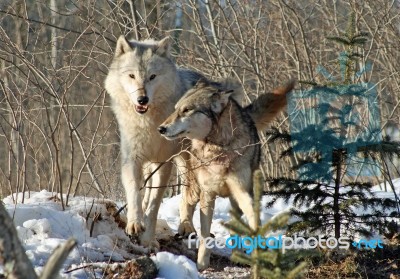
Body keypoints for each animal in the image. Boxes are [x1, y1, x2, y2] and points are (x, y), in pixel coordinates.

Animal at [104, 35, 203, 249]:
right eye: (132, 76)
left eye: (152, 77)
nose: (142, 99)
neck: (147, 122)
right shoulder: (132, 159)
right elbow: (134, 192)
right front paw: (134, 224)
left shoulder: (163, 163)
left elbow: (155, 204)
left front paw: (148, 239)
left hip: (185, 161)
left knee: (188, 193)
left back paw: (186, 227)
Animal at [159, 79, 294, 272]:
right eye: (176, 109)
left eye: (187, 110)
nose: (161, 128)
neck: (219, 147)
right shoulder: (207, 194)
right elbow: (205, 234)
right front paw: (201, 264)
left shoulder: (243, 192)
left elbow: (251, 218)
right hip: (195, 188)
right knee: (185, 201)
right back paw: (186, 228)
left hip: (233, 198)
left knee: (233, 222)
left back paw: (237, 253)